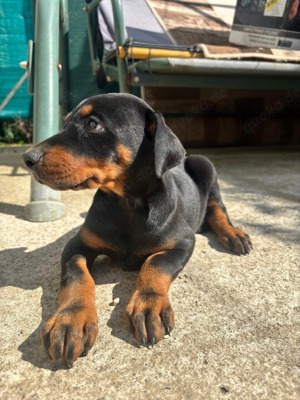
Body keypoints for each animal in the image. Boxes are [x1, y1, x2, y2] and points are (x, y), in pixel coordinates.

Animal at [22, 92, 251, 368]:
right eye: (65, 123)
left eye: (92, 124)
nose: (28, 158)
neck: (127, 205)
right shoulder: (77, 245)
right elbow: (76, 275)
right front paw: (70, 320)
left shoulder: (182, 242)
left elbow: (155, 264)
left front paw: (149, 305)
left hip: (205, 165)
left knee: (218, 209)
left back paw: (234, 234)